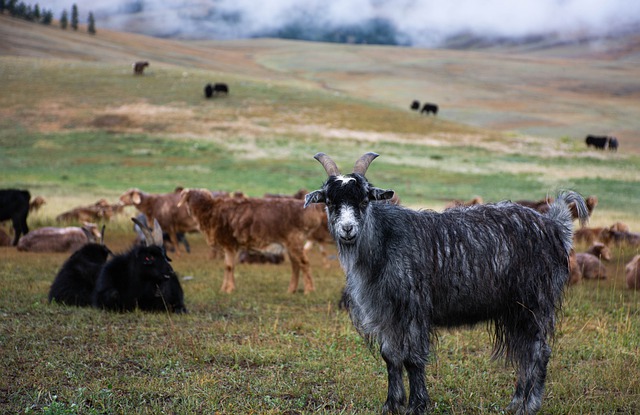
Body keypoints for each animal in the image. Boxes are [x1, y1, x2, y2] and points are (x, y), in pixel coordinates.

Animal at [178, 190, 324, 294]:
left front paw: (228, 289)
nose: (189, 211)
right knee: (295, 265)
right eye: (189, 200)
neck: (209, 212)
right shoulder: (230, 246)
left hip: (295, 240)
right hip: (289, 243)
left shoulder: (229, 243)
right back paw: (291, 290)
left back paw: (309, 290)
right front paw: (226, 288)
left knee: (304, 263)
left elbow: (229, 266)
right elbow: (228, 266)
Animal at [306, 153, 592, 415]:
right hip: (515, 310)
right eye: (329, 201)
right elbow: (391, 357)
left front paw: (417, 405)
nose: (347, 229)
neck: (385, 243)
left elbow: (413, 359)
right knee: (523, 351)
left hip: (536, 303)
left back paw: (530, 405)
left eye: (364, 200)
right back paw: (515, 403)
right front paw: (391, 404)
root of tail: (554, 225)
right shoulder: (384, 314)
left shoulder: (414, 310)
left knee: (539, 351)